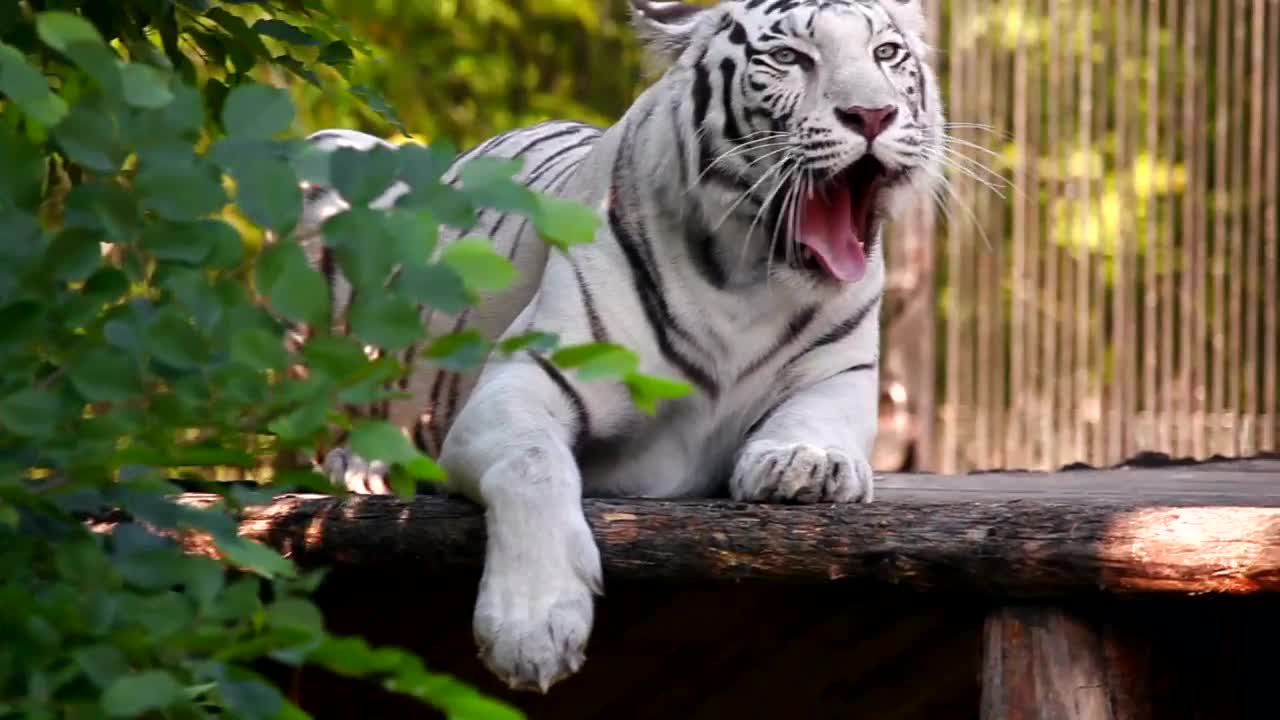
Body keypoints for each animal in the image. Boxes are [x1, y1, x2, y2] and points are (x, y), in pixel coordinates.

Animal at [294, 0, 944, 693]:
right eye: (789, 58)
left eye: (886, 54)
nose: (873, 115)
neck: (748, 280)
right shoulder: (522, 381)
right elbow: (532, 462)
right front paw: (531, 627)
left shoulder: (841, 376)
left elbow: (815, 424)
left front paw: (804, 464)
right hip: (330, 164)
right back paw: (360, 468)